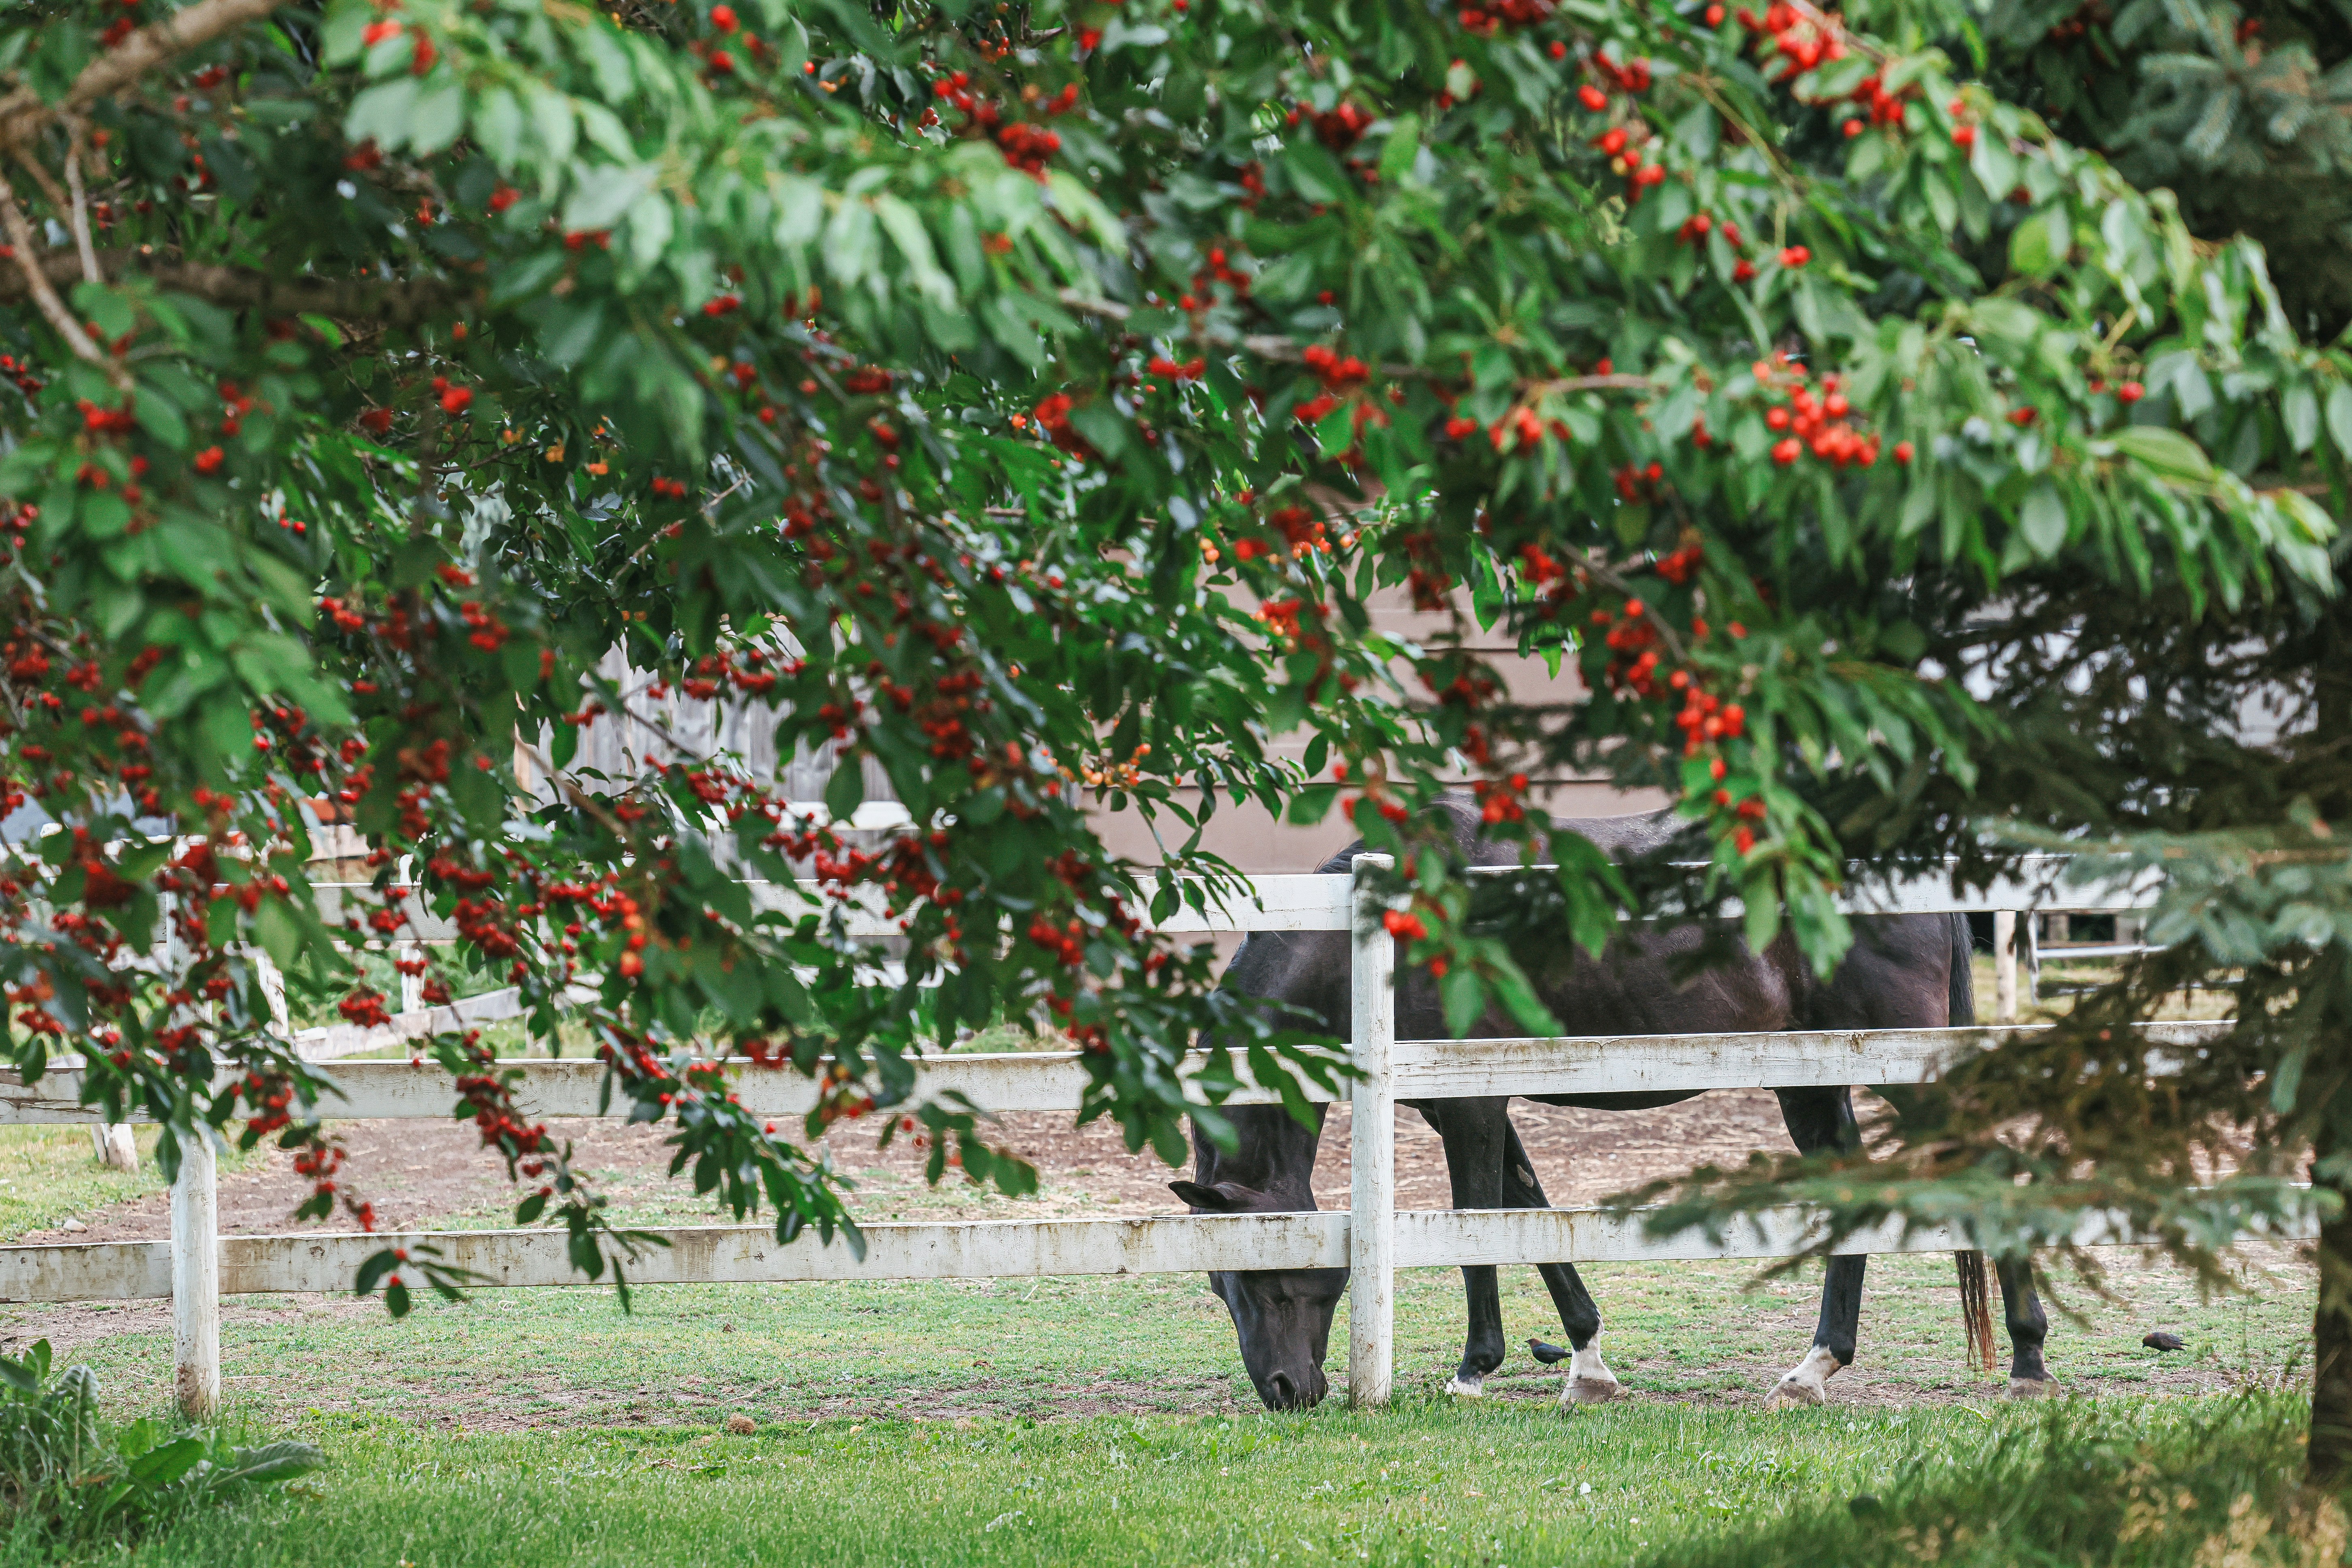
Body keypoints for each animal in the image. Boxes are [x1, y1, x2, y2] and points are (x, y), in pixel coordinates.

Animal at [1169, 798, 2051, 1411]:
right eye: (1218, 1285)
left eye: (1259, 1278)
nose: (1285, 1390)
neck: (1378, 939)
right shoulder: (1472, 1104)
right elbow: (1532, 1214)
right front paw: (1586, 1363)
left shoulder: (1466, 1105)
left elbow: (1477, 1225)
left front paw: (1473, 1370)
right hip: (1809, 1080)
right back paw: (1813, 1369)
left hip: (1908, 1074)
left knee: (1994, 1171)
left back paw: (2028, 1361)